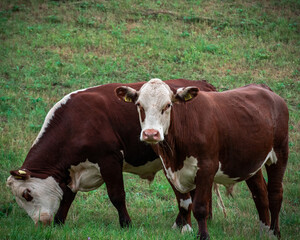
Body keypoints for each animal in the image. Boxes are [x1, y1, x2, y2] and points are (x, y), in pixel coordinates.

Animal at [6, 79, 218, 232]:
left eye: (27, 194)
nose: (40, 224)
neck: (77, 122)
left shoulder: (110, 160)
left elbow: (117, 195)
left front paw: (126, 224)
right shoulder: (72, 169)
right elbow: (67, 196)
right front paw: (59, 222)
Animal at [115, 78, 288, 239]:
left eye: (168, 105)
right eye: (139, 105)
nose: (151, 134)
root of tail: (263, 88)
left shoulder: (206, 168)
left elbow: (200, 206)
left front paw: (203, 235)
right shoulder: (169, 169)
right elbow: (184, 204)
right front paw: (186, 230)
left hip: (279, 153)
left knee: (275, 194)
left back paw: (275, 232)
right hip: (251, 162)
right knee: (260, 194)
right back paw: (265, 231)